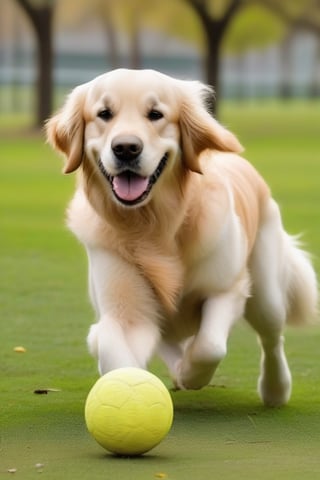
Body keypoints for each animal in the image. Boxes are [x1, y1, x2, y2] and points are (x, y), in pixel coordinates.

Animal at [46, 67, 318, 404]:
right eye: (104, 114)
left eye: (156, 114)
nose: (125, 148)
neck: (153, 225)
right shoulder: (125, 312)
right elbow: (114, 350)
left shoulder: (226, 289)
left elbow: (210, 346)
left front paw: (192, 374)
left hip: (266, 292)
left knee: (271, 339)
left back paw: (275, 389)